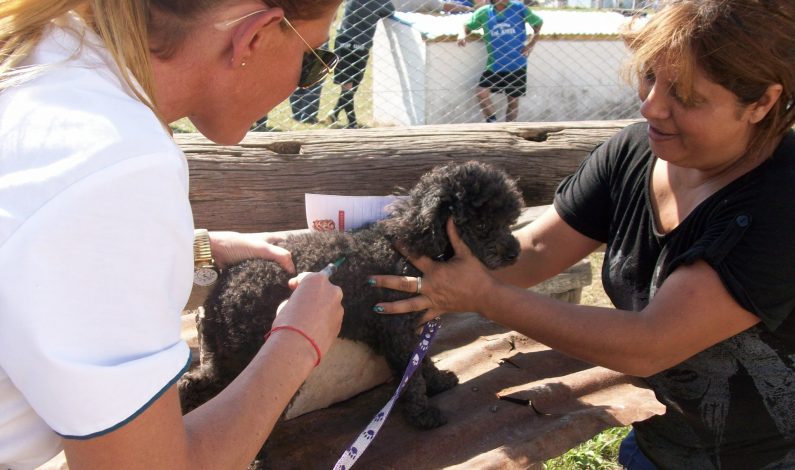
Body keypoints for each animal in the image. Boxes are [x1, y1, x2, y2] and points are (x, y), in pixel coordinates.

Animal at [181, 161, 528, 434]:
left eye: (509, 222)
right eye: (482, 224)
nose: (516, 253)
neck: (411, 245)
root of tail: (219, 292)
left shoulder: (408, 329)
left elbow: (422, 360)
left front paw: (439, 381)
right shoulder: (395, 331)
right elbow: (411, 375)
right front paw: (423, 413)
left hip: (227, 354)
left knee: (203, 384)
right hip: (255, 354)